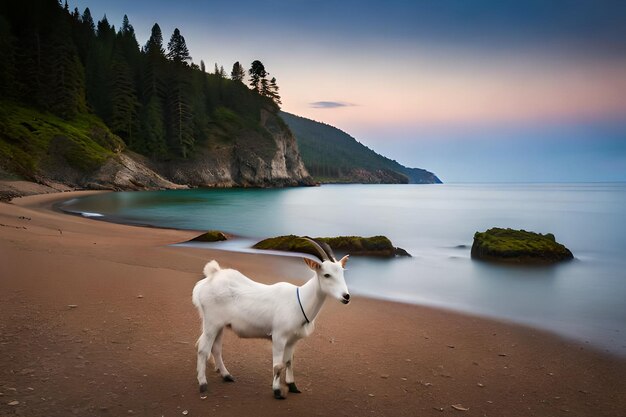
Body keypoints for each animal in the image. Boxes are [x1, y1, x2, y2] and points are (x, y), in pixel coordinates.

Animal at [190, 237, 348, 396]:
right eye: (326, 274)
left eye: (342, 273)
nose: (346, 296)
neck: (299, 300)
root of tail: (210, 277)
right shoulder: (278, 336)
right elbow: (278, 365)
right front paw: (277, 391)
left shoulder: (292, 340)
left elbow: (289, 361)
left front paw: (292, 386)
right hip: (211, 322)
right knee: (203, 349)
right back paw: (203, 383)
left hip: (219, 325)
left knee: (215, 348)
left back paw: (226, 375)